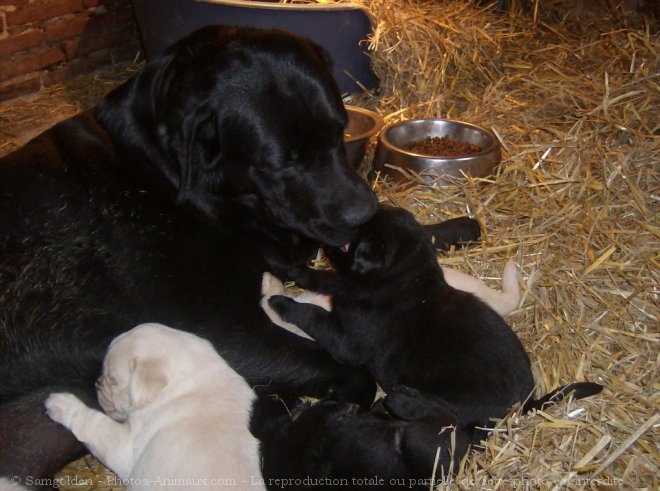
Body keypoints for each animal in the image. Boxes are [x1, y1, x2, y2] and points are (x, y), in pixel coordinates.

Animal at [268, 205, 604, 458]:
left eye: (348, 244)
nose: (325, 237)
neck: (407, 279)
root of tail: (525, 403)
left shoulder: (347, 340)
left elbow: (313, 314)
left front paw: (281, 303)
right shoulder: (344, 285)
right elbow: (322, 279)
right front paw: (288, 269)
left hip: (461, 395)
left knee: (445, 414)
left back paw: (401, 400)